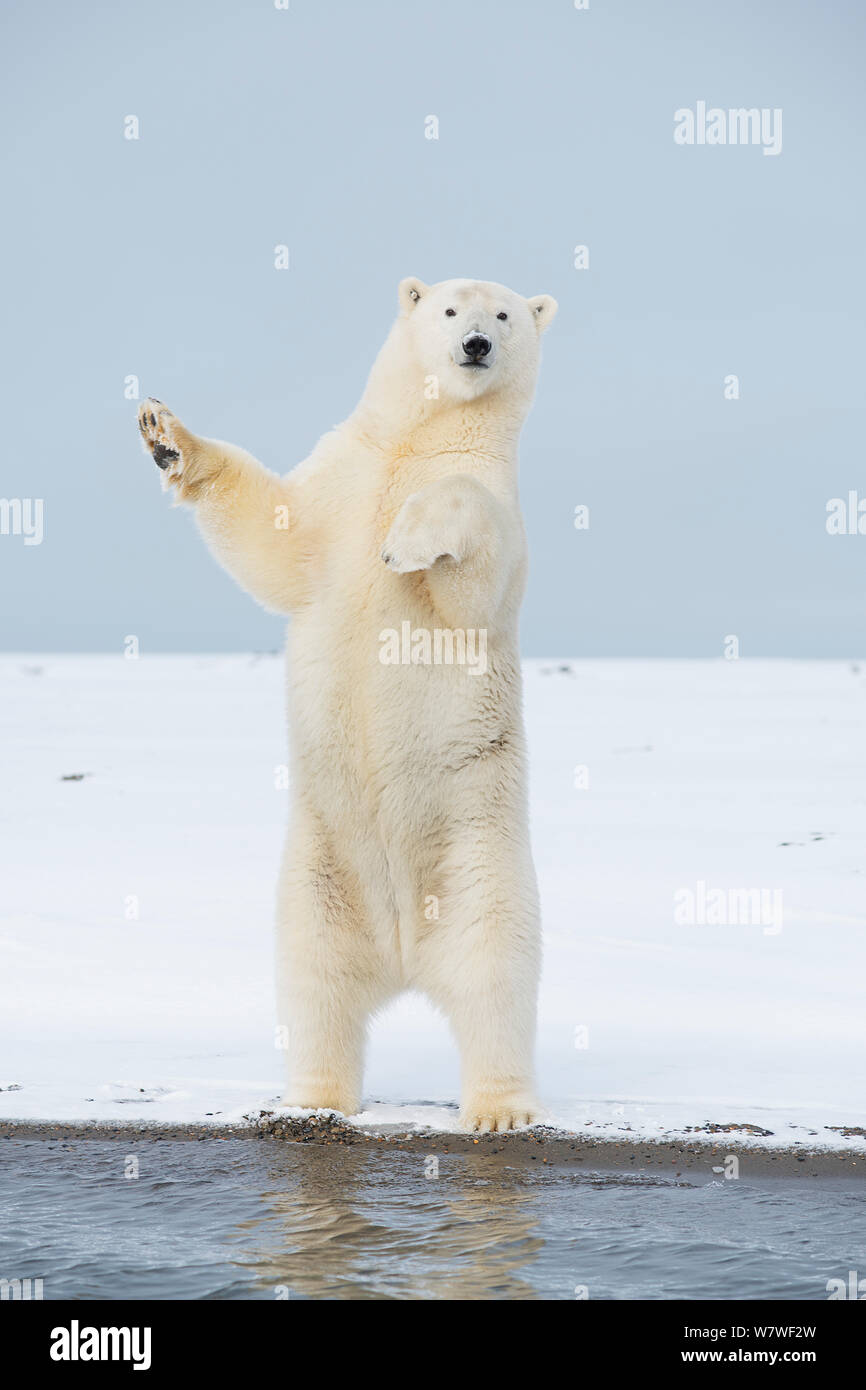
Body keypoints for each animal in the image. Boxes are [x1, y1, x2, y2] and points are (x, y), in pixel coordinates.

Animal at [135, 276, 556, 1134]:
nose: (476, 346)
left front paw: (404, 542)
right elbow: (275, 536)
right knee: (313, 984)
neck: (414, 443)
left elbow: (467, 571)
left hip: (480, 861)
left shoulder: (497, 504)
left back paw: (499, 1109)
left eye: (503, 315)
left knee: (496, 979)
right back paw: (315, 1098)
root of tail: (404, 954)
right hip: (320, 875)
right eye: (450, 310)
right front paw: (165, 434)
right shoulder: (341, 480)